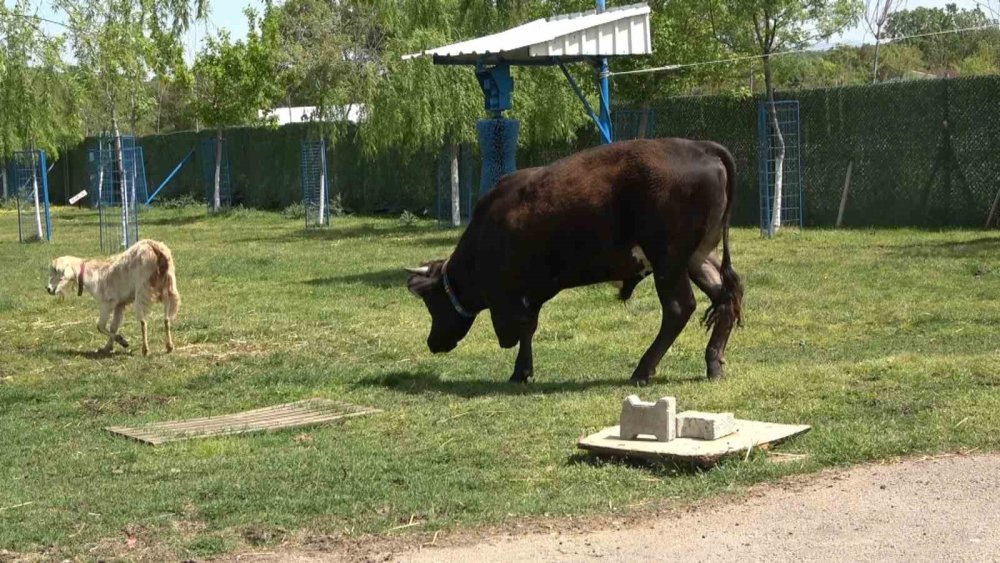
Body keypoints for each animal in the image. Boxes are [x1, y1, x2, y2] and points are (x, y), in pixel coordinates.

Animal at [406, 138, 744, 384]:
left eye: (432, 303)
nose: (432, 343)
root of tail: (700, 147)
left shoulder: (512, 297)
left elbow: (523, 328)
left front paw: (520, 371)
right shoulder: (533, 292)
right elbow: (529, 329)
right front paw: (523, 370)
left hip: (669, 261)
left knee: (679, 308)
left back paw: (643, 370)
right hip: (698, 257)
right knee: (728, 296)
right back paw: (713, 362)